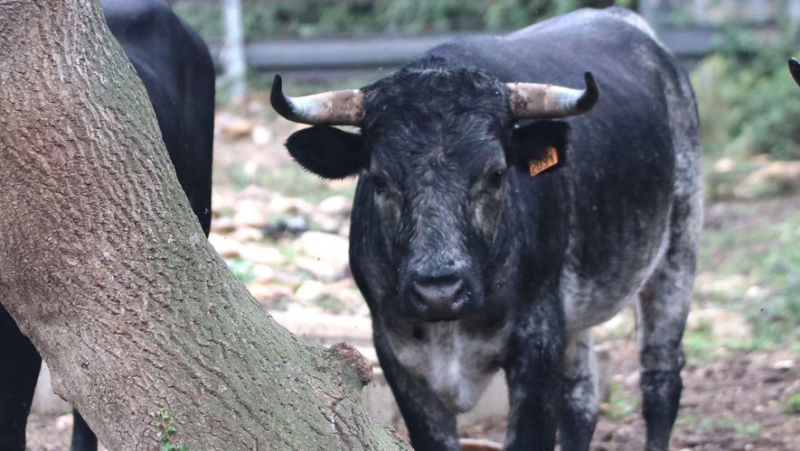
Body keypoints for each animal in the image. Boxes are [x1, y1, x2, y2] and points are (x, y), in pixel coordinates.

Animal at [270, 7, 700, 451]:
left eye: (495, 174)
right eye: (379, 179)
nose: (439, 291)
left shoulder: (538, 339)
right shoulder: (395, 351)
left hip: (679, 248)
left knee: (661, 379)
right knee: (581, 401)